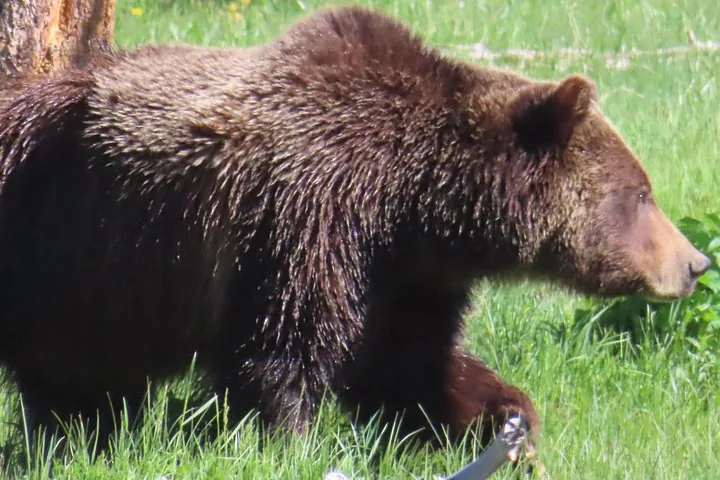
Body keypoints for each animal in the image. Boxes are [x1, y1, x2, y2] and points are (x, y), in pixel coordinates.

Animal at [0, 5, 710, 461]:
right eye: (641, 193)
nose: (696, 263)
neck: (413, 202)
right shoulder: (308, 216)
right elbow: (282, 354)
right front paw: (288, 444)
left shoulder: (405, 274)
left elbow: (410, 362)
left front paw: (502, 417)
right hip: (72, 243)